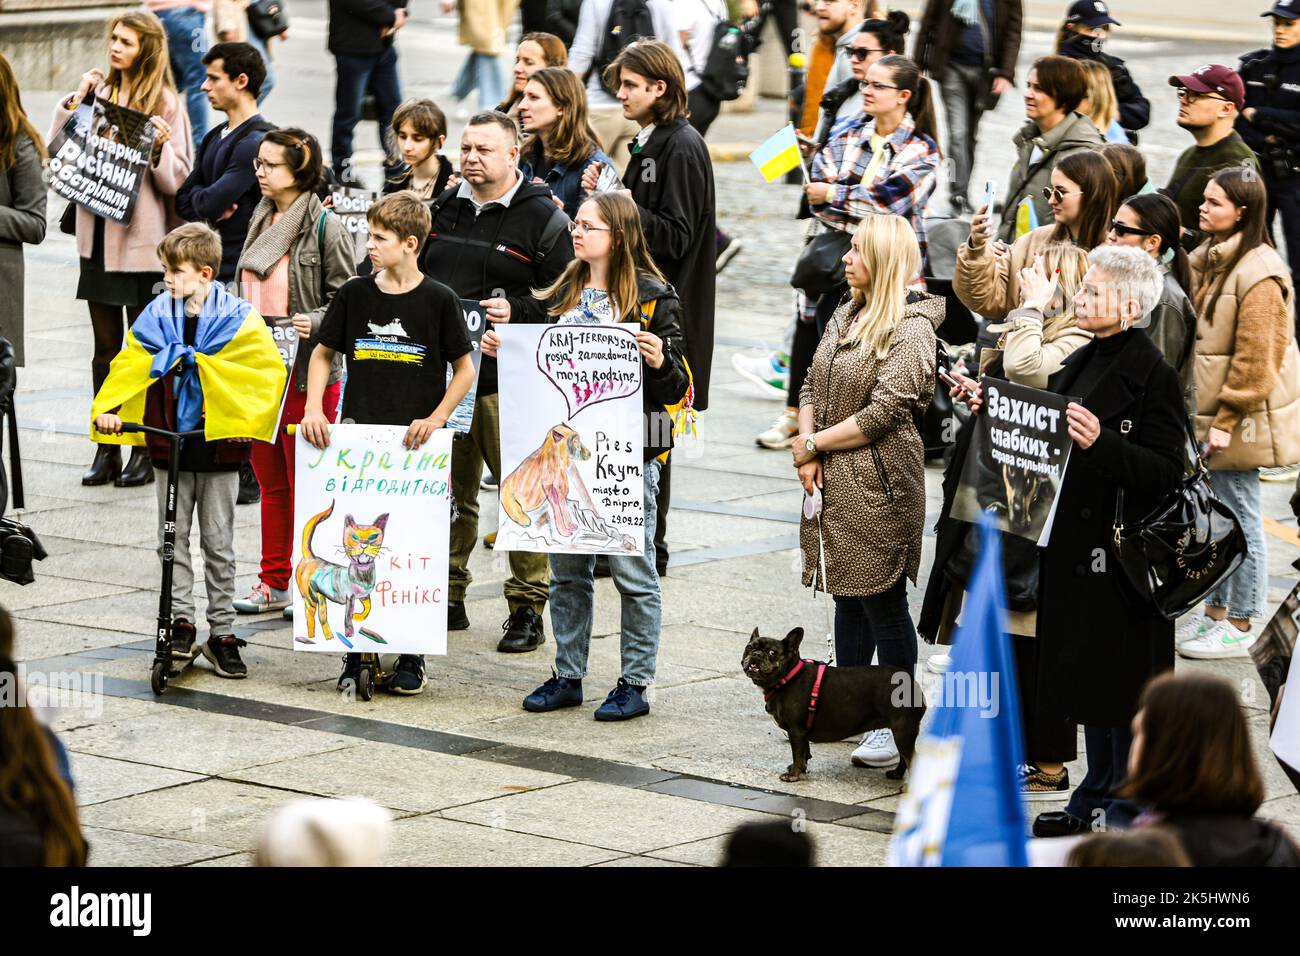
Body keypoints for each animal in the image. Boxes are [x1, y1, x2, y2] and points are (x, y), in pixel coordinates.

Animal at [296, 502, 387, 642]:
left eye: (373, 537)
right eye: (354, 537)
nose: (364, 544)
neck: (363, 575)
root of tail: (310, 557)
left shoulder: (365, 596)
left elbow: (368, 608)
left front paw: (358, 616)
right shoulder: (350, 598)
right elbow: (347, 618)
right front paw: (349, 633)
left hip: (319, 599)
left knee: (317, 617)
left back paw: (320, 636)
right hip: (311, 598)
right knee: (314, 616)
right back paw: (319, 636)